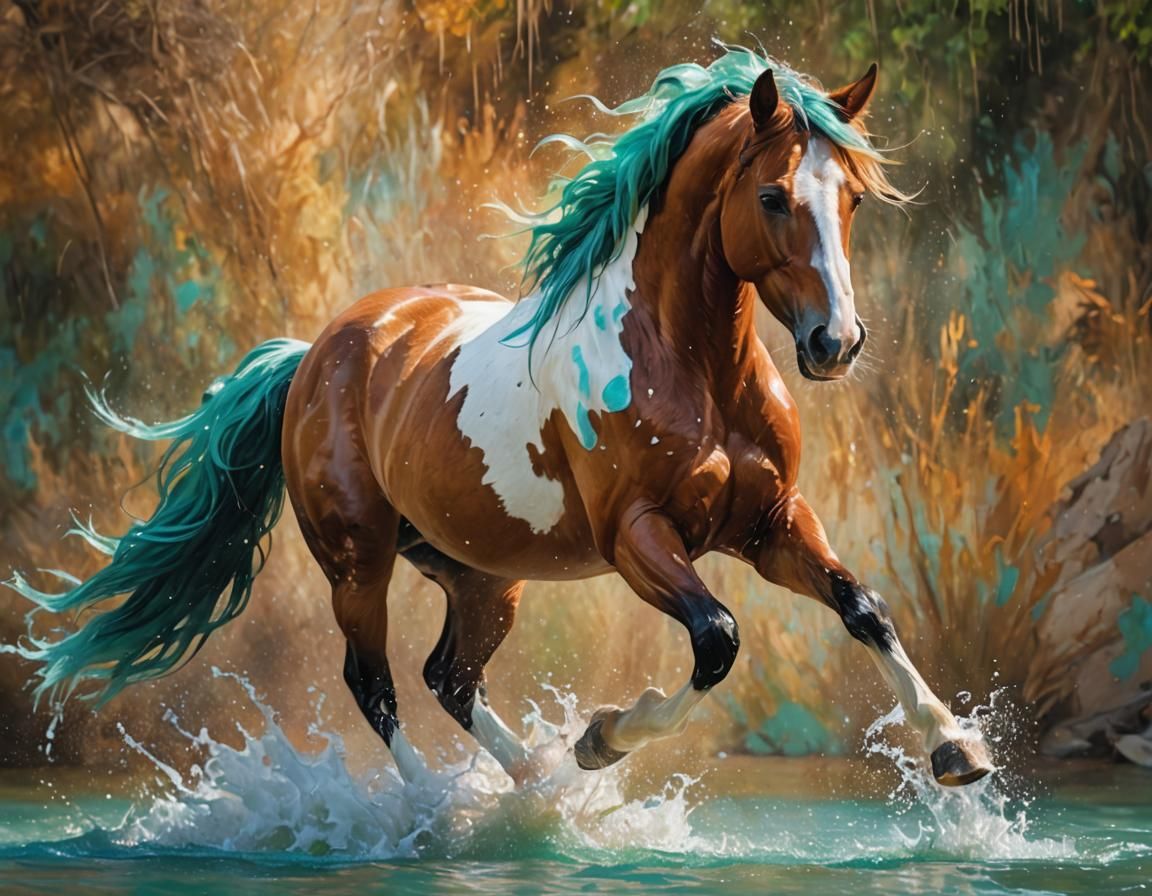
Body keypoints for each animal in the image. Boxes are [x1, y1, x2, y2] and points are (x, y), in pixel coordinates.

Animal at [7, 47, 993, 788]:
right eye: (773, 198)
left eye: (853, 197)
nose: (836, 342)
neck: (696, 371)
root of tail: (317, 352)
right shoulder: (640, 537)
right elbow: (717, 640)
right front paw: (605, 735)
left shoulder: (771, 523)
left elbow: (863, 607)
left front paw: (957, 748)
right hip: (358, 564)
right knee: (376, 686)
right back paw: (442, 814)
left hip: (480, 573)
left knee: (451, 677)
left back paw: (533, 792)